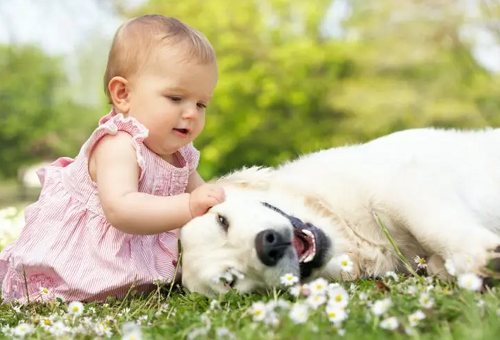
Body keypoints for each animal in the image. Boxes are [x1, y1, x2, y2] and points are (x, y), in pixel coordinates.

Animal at [180, 127, 500, 294]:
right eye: (230, 280)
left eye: (222, 220)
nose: (267, 246)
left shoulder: (403, 181)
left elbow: (430, 226)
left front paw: (477, 255)